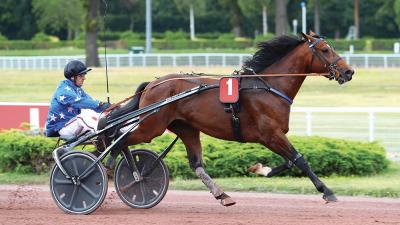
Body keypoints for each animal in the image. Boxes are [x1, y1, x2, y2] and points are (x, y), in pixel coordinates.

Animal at [121, 32, 354, 207]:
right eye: (325, 49)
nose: (349, 71)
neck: (269, 87)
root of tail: (152, 85)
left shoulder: (274, 136)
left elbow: (289, 161)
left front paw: (260, 169)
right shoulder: (270, 135)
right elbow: (300, 160)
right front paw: (327, 191)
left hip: (186, 128)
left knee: (196, 163)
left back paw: (222, 195)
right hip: (151, 127)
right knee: (119, 142)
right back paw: (129, 174)